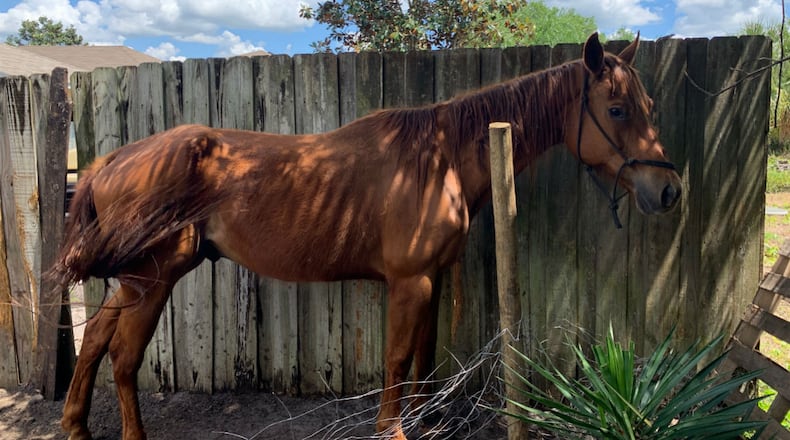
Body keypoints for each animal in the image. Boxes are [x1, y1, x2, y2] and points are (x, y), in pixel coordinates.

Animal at [50, 33, 681, 440]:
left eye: (651, 105)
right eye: (618, 109)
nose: (669, 191)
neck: (440, 160)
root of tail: (111, 161)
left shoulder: (431, 279)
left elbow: (425, 353)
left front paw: (426, 420)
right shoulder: (408, 281)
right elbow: (398, 357)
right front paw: (393, 429)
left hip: (134, 281)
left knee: (98, 337)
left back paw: (75, 424)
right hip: (152, 278)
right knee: (125, 357)